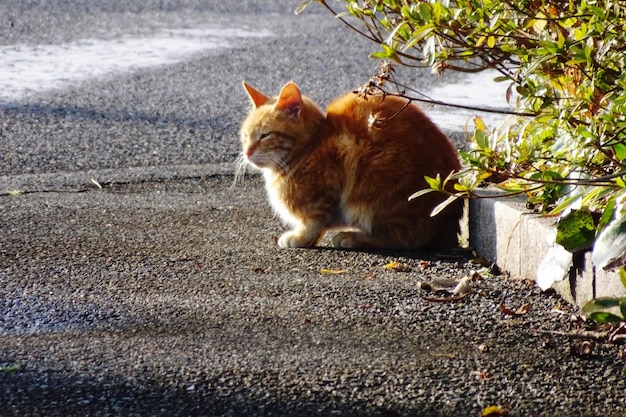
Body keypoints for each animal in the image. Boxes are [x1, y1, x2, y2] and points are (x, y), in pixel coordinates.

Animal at [239, 80, 464, 250]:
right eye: (245, 136)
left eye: (264, 135)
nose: (247, 152)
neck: (310, 146)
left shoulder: (323, 197)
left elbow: (313, 222)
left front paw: (301, 238)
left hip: (373, 188)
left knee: (406, 239)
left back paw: (352, 237)